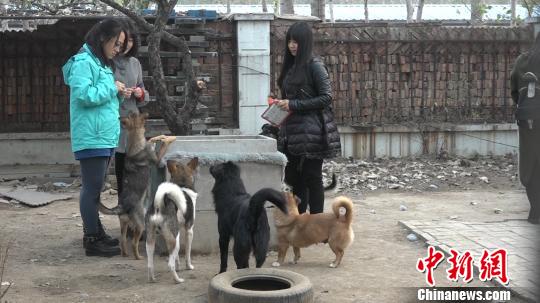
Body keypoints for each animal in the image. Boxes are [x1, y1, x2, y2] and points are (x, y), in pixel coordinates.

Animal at [99, 113, 177, 260]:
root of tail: (122, 206)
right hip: (140, 225)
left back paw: (125, 254)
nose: (145, 113)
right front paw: (170, 138)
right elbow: (164, 144)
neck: (135, 142)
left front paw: (160, 136)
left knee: (123, 240)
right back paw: (138, 257)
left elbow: (152, 139)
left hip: (124, 224)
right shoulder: (157, 159)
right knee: (134, 242)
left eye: (132, 115)